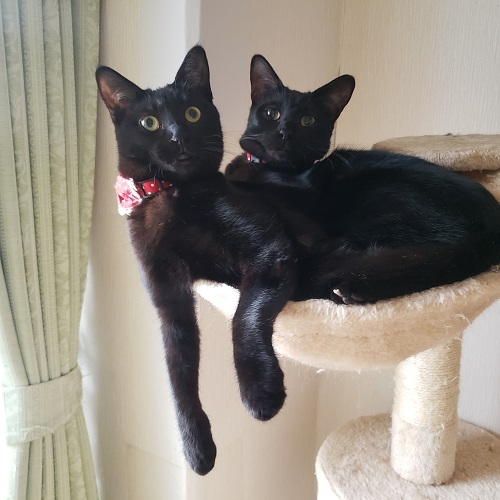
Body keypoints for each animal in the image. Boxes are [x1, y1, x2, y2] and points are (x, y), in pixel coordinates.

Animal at [96, 47, 302, 475]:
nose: (177, 135)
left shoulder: (270, 249)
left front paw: (260, 392)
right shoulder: (169, 300)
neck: (171, 196)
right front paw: (197, 448)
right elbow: (179, 375)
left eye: (192, 113)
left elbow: (245, 314)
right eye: (150, 122)